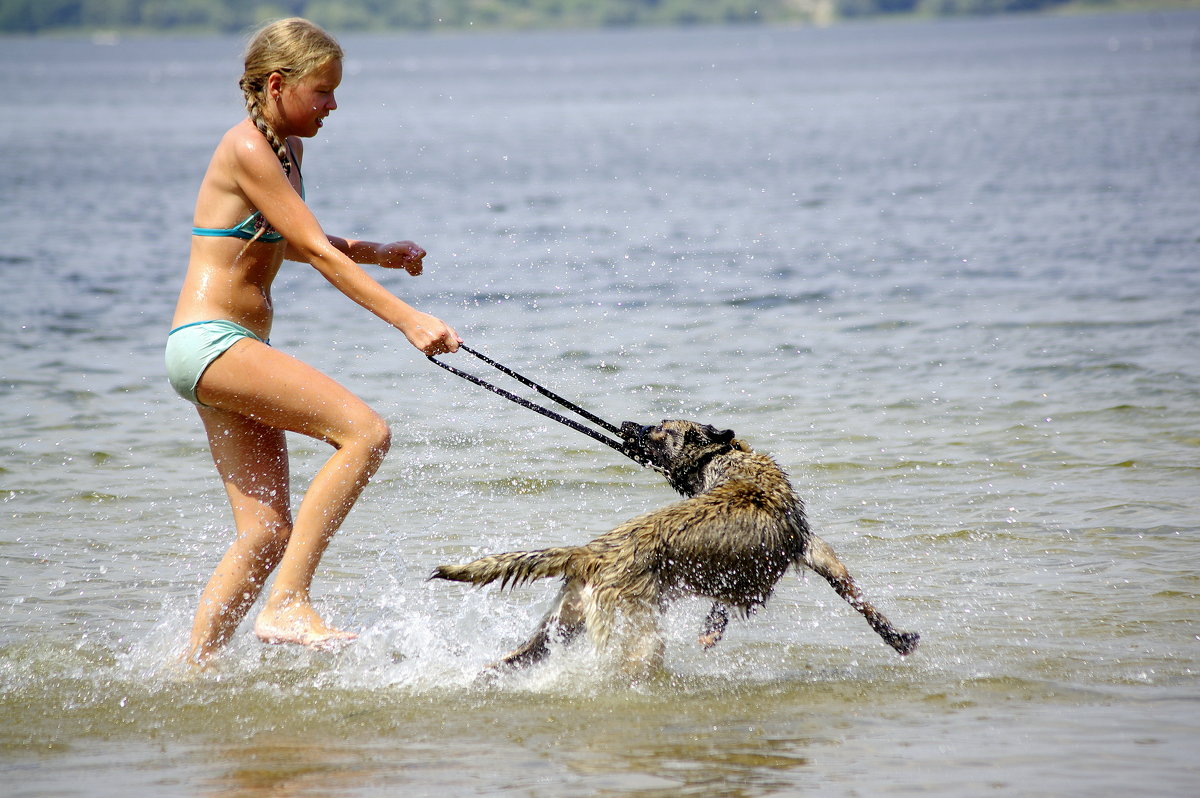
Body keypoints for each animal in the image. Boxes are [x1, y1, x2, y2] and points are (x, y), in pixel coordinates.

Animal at [432, 420, 916, 676]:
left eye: (662, 430)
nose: (628, 426)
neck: (725, 460)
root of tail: (589, 553)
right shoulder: (810, 548)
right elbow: (858, 598)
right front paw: (898, 638)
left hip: (561, 626)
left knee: (514, 658)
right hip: (637, 634)